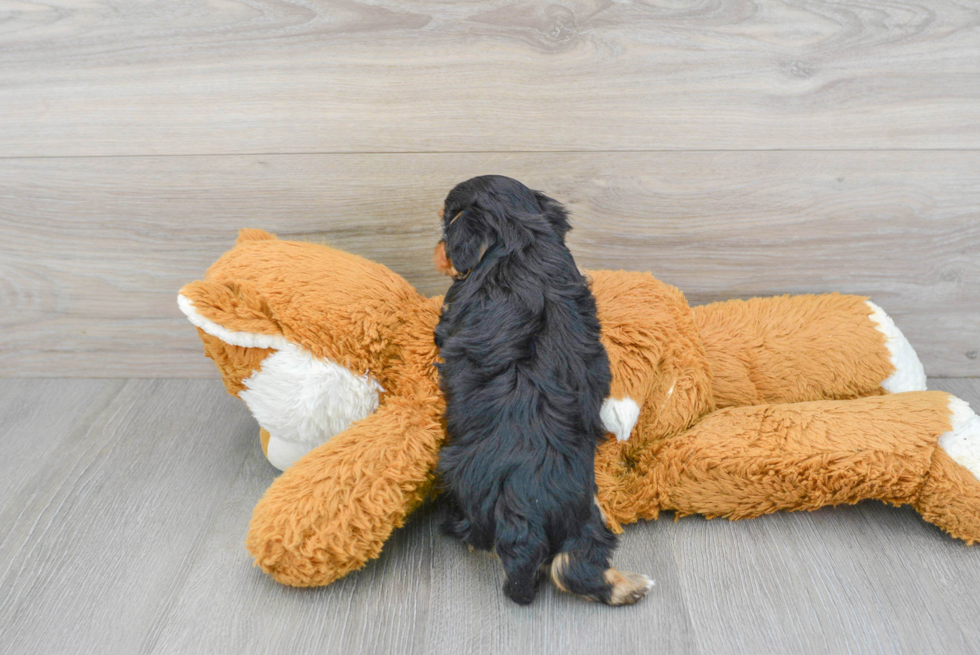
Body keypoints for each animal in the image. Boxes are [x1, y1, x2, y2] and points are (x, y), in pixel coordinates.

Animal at [430, 177, 648, 608]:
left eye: (447, 226)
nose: (437, 250)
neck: (521, 241)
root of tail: (529, 514)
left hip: (463, 482)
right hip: (584, 511)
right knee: (574, 564)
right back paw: (628, 587)